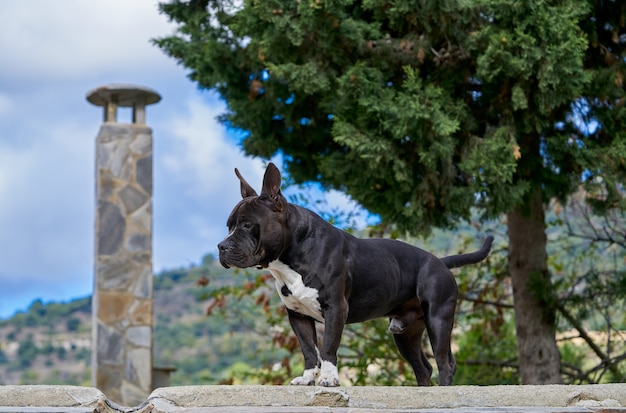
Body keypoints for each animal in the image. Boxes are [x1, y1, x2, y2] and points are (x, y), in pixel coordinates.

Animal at [219, 163, 492, 384]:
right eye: (229, 226)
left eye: (247, 225)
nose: (221, 246)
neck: (293, 254)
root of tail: (440, 262)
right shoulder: (298, 315)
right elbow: (309, 350)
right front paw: (307, 378)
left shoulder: (336, 308)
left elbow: (328, 347)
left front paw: (329, 379)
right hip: (406, 333)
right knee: (423, 368)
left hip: (439, 319)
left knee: (445, 363)